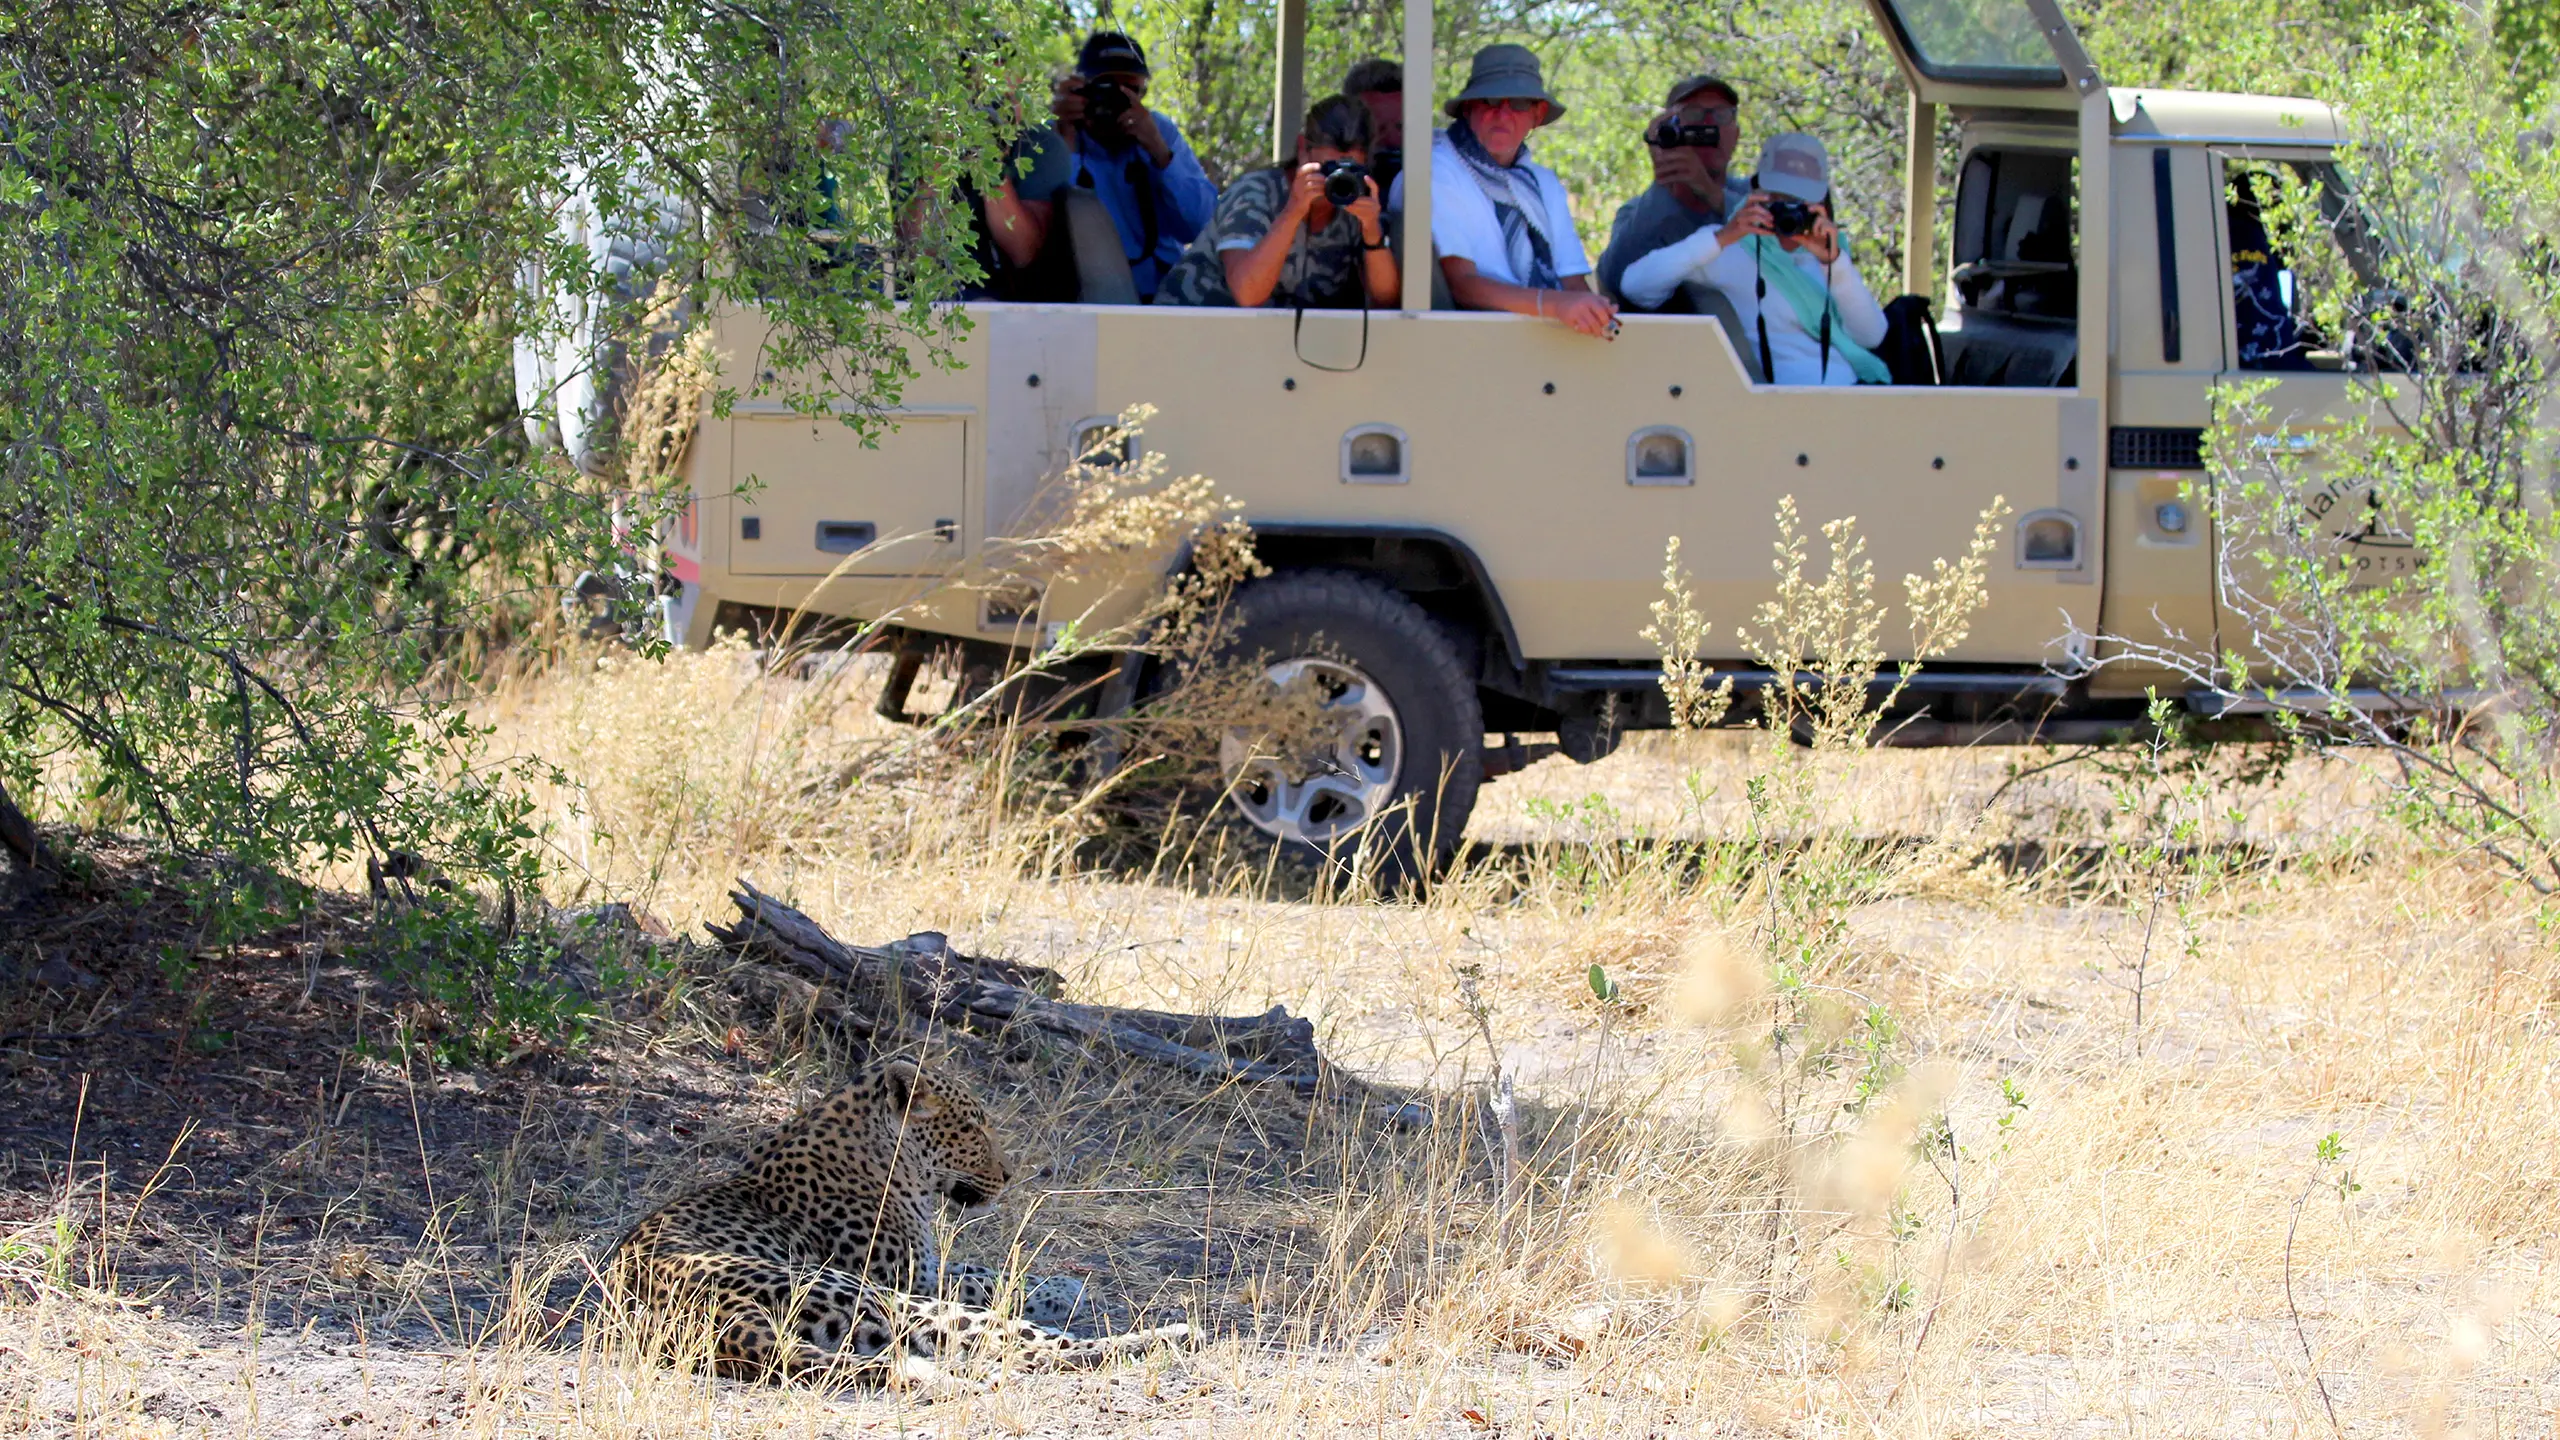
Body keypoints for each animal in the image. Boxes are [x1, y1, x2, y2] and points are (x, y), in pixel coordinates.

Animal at [607, 1055, 1191, 1382]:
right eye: (973, 1128)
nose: (1008, 1175)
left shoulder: (926, 1268)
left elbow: (982, 1269)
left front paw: (1060, 1283)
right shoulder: (908, 1276)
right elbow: (985, 1279)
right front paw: (1067, 1287)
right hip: (874, 1297)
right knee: (1029, 1347)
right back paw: (1165, 1336)